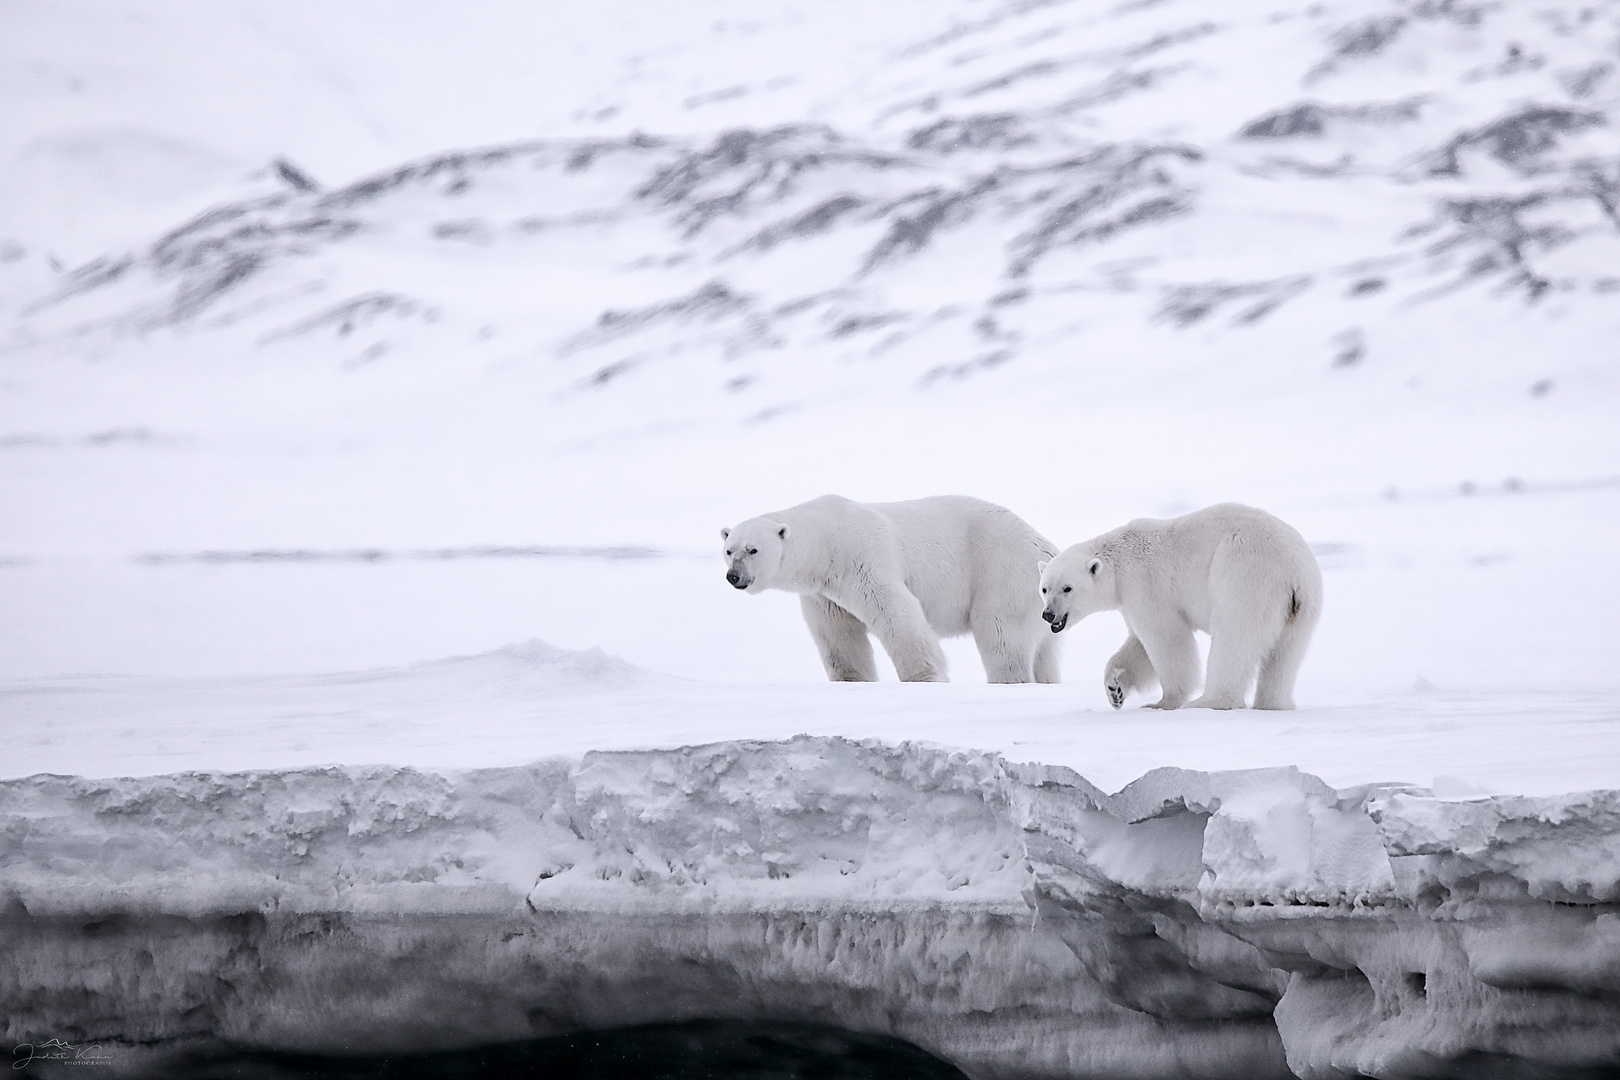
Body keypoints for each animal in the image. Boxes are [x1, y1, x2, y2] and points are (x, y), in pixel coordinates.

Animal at [725, 495, 1062, 683]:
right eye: (729, 550)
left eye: (752, 549)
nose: (733, 576)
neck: (826, 540)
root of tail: (1047, 548)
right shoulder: (822, 592)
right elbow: (838, 636)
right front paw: (851, 680)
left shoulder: (862, 558)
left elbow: (896, 614)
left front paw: (924, 677)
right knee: (1044, 652)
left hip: (1003, 574)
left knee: (1001, 636)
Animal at [1036, 505, 1315, 709]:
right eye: (1044, 588)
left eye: (1067, 588)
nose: (1048, 614)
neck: (1119, 563)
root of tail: (1293, 574)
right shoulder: (1129, 600)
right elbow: (1138, 643)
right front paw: (1115, 688)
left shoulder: (1145, 585)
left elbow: (1166, 638)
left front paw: (1162, 703)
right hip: (1301, 608)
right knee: (1285, 655)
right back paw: (1273, 704)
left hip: (1245, 575)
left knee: (1233, 640)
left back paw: (1206, 702)